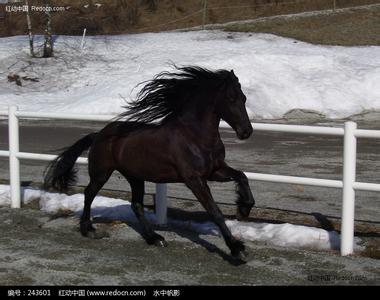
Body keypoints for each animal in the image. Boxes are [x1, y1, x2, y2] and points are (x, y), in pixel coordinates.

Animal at [45, 65, 255, 260]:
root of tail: (99, 135)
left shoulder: (214, 171)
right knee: (89, 194)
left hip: (134, 177)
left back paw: (155, 238)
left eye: (244, 98)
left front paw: (244, 208)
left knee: (136, 204)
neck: (195, 136)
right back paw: (88, 229)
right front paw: (237, 249)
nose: (246, 132)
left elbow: (242, 176)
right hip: (101, 173)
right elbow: (215, 211)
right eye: (231, 98)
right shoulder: (194, 179)